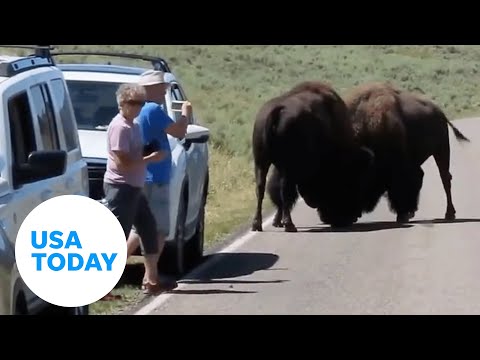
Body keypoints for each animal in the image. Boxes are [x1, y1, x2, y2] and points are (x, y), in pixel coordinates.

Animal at [251, 81, 376, 233]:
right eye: (353, 183)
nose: (355, 215)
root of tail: (277, 110)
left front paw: (276, 221)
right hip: (285, 168)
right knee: (284, 191)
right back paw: (289, 225)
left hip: (261, 163)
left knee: (261, 189)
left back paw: (257, 224)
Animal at [344, 82, 470, 222]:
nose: (350, 215)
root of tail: (440, 112)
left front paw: (403, 214)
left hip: (441, 150)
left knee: (445, 178)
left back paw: (449, 214)